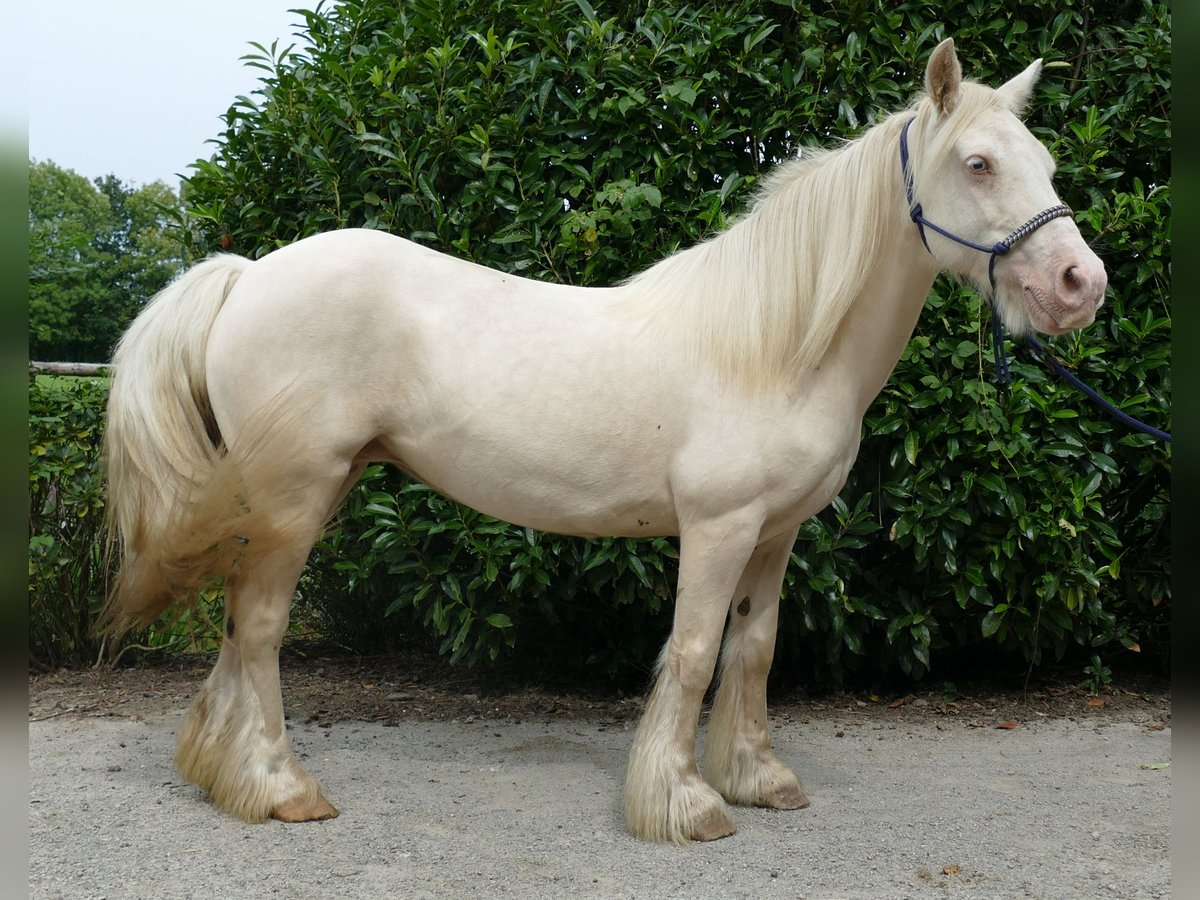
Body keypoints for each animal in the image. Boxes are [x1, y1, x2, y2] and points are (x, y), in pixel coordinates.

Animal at [103, 40, 1104, 844]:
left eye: (1047, 160)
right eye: (978, 163)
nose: (1079, 283)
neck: (775, 346)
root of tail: (247, 276)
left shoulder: (776, 533)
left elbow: (754, 647)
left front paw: (759, 778)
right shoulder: (719, 527)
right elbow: (693, 652)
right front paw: (686, 805)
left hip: (297, 495)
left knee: (237, 627)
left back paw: (221, 772)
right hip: (296, 497)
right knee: (263, 628)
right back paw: (281, 788)